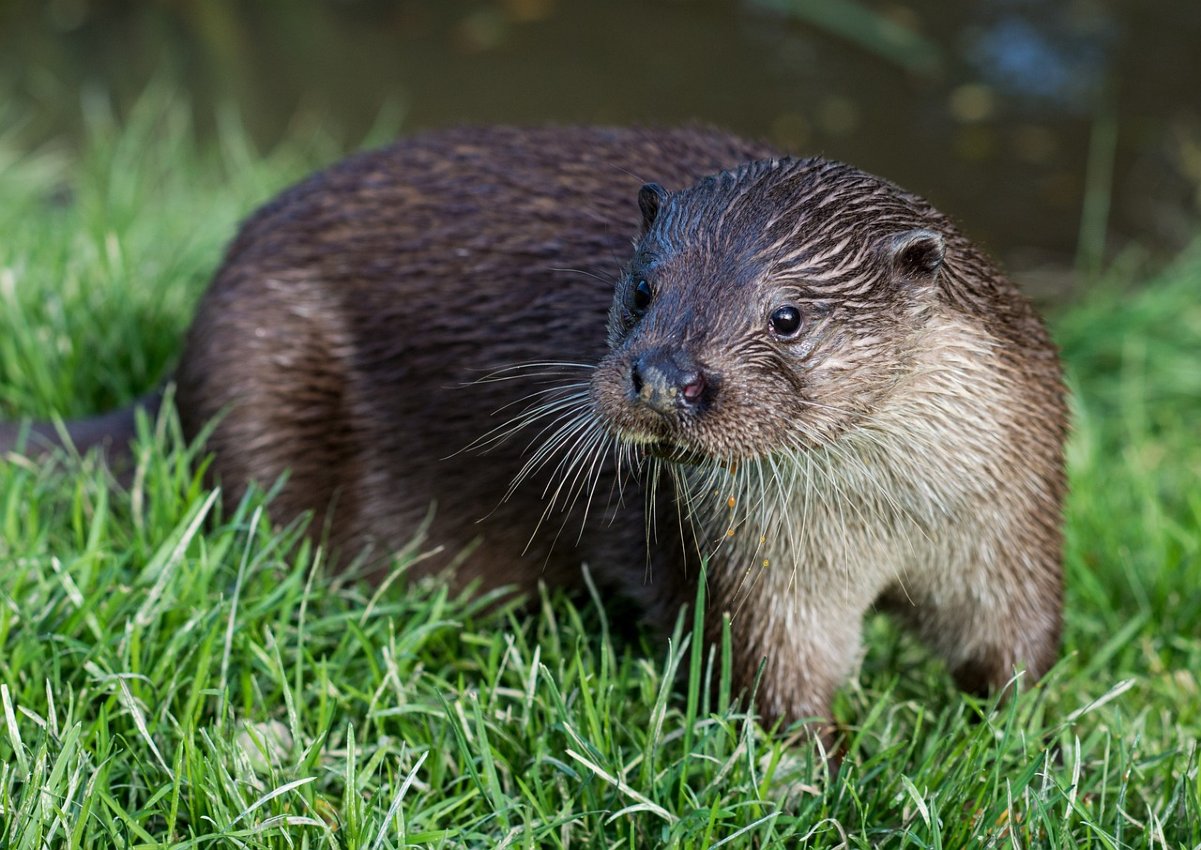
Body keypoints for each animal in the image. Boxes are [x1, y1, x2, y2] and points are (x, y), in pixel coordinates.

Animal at [2, 124, 1071, 734]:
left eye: (786, 316)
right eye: (641, 291)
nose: (662, 374)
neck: (886, 520)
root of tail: (180, 365)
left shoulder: (1010, 525)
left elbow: (1015, 645)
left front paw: (1019, 740)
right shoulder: (758, 574)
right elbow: (777, 685)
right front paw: (821, 777)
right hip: (261, 367)